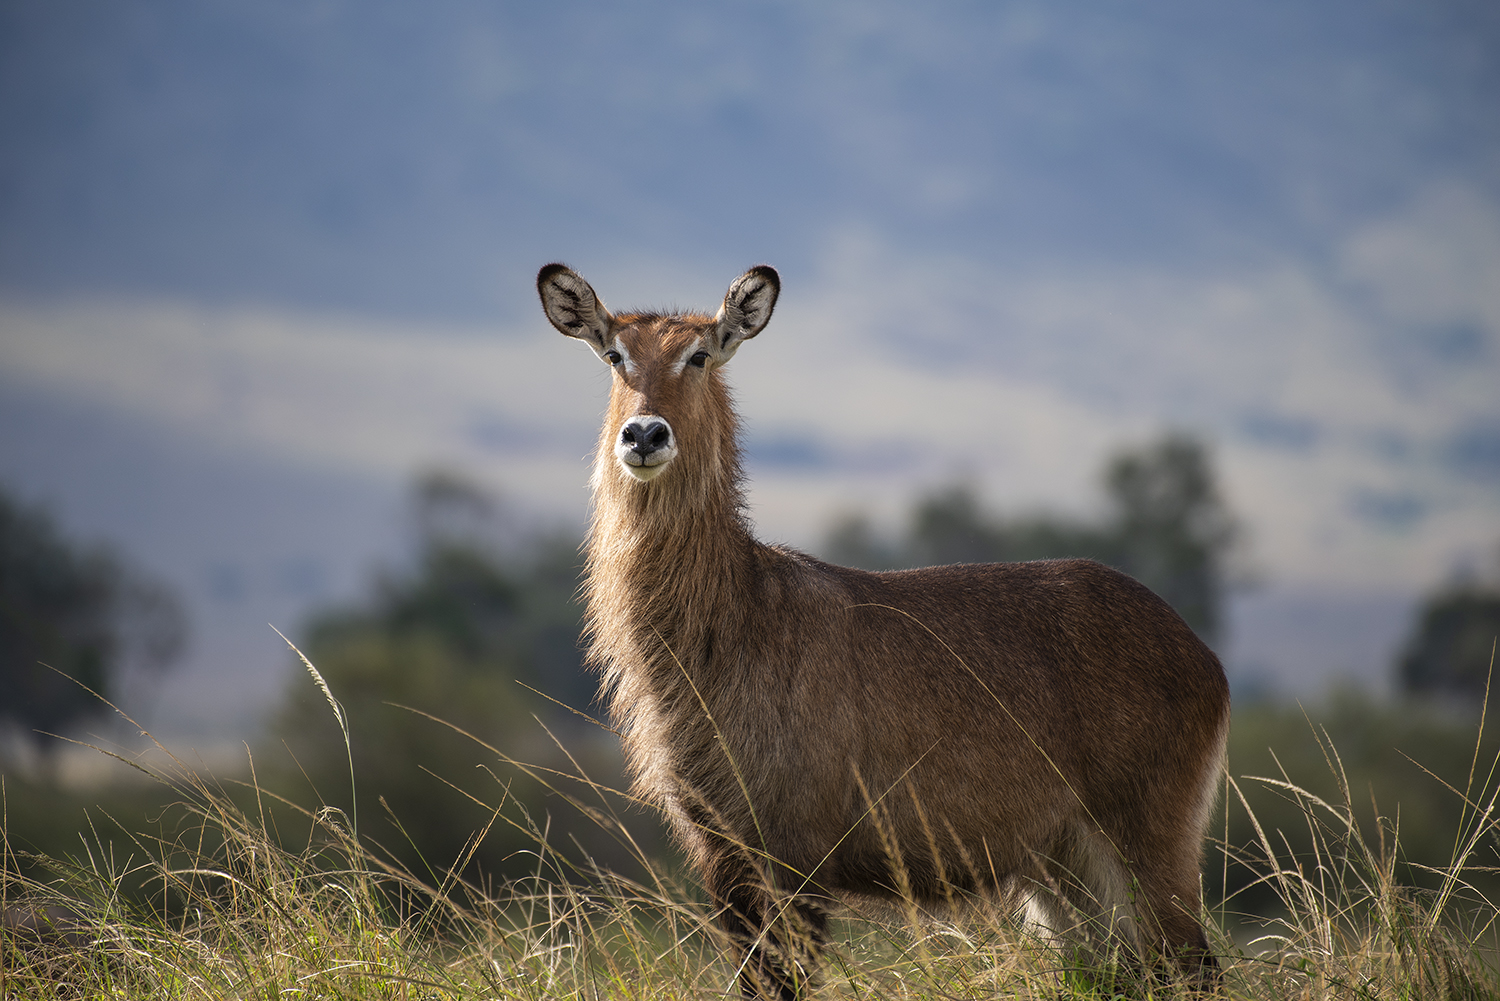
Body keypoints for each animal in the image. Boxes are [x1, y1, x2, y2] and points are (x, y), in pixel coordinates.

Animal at [540, 262, 1230, 996]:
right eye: (616, 355)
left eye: (698, 355)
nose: (645, 434)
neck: (734, 620)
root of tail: (1206, 657)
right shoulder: (720, 851)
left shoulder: (797, 851)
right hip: (1062, 869)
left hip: (1149, 839)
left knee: (1197, 967)